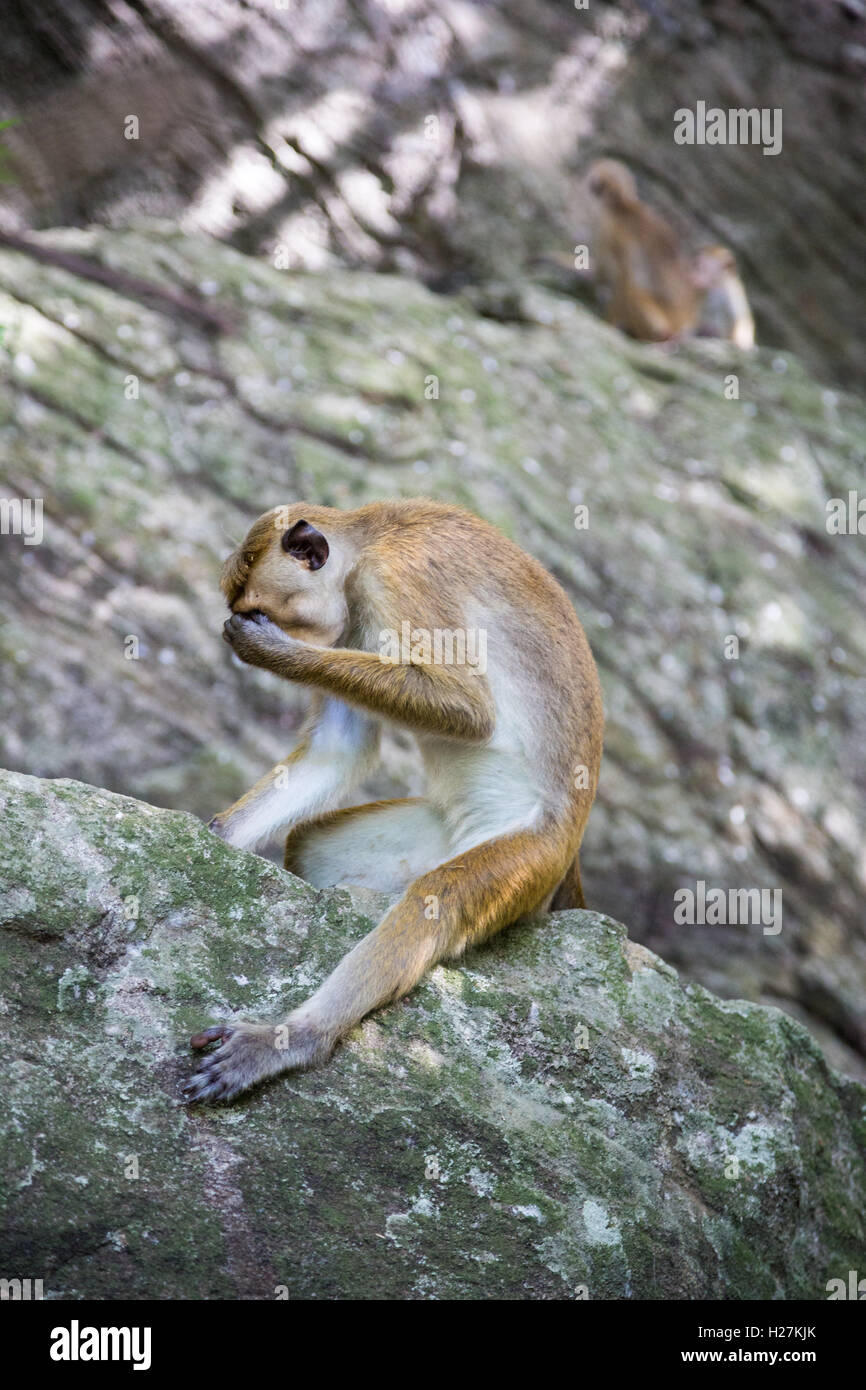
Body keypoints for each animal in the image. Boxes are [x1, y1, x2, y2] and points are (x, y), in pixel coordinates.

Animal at [184, 503, 603, 1106]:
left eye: (259, 611)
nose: (247, 629)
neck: (367, 544)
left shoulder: (399, 578)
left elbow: (468, 708)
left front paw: (275, 653)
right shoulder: (353, 620)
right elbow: (338, 752)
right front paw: (213, 840)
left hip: (531, 856)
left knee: (436, 898)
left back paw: (294, 1039)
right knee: (314, 846)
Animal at [583, 157, 697, 339]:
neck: (621, 207)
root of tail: (683, 325)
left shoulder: (607, 232)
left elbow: (618, 277)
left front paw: (608, 321)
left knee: (633, 290)